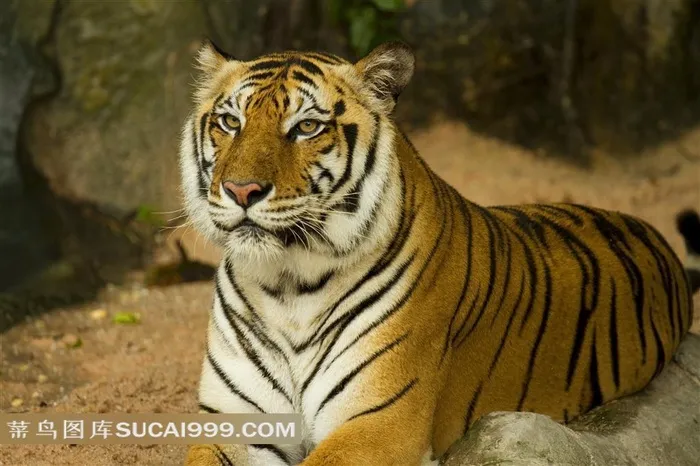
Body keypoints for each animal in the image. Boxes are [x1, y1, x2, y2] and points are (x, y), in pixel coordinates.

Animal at [178, 40, 696, 466]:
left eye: (307, 127)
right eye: (231, 122)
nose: (241, 190)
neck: (287, 283)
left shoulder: (379, 423)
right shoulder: (234, 418)